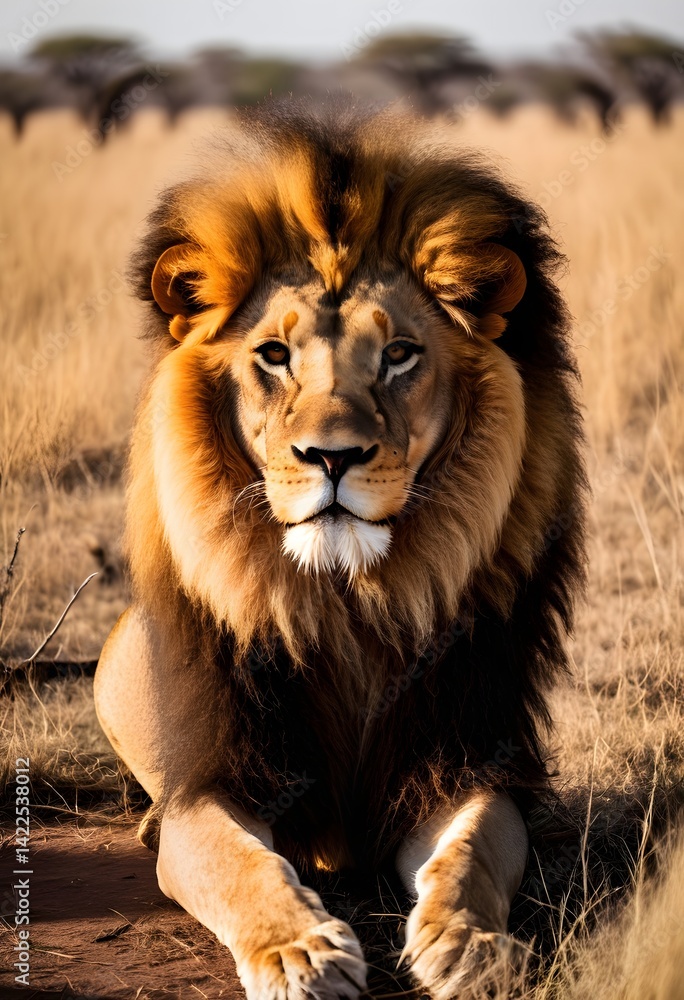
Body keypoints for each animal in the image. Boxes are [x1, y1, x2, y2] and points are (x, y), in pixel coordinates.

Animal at [94, 101, 586, 1000]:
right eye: (274, 356)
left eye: (398, 355)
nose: (332, 456)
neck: (346, 599)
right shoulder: (220, 780)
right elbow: (240, 863)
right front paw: (299, 951)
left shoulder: (461, 759)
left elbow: (470, 851)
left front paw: (467, 941)